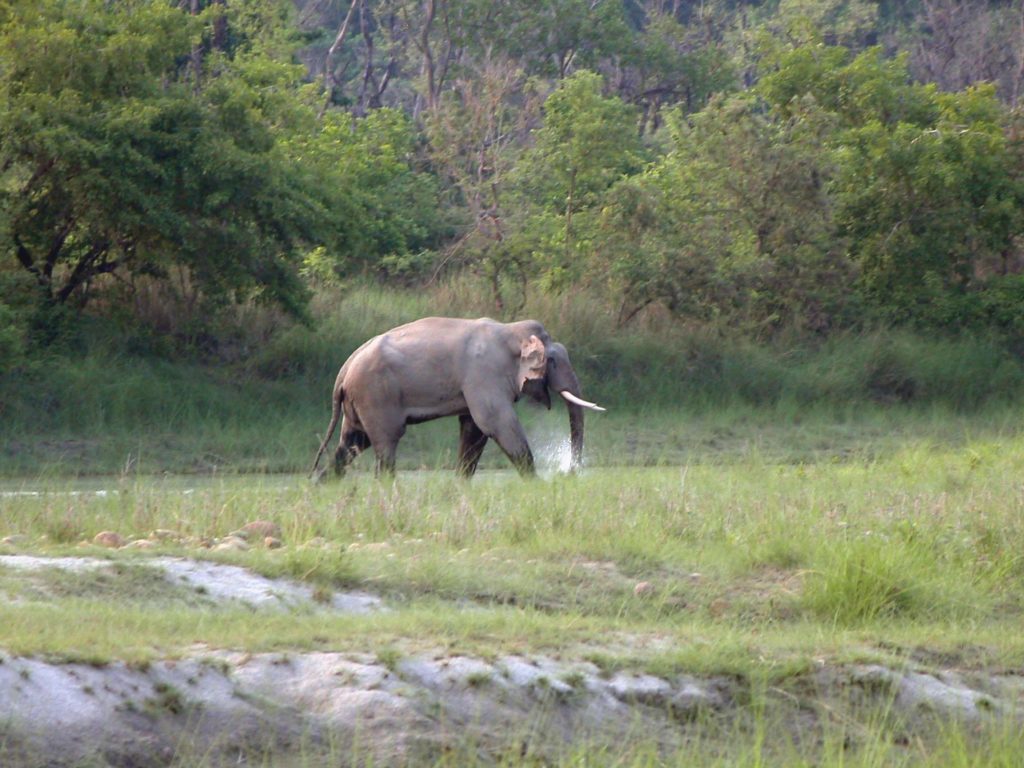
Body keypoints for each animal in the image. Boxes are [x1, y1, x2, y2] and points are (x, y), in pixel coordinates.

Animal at [307, 315, 602, 479]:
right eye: (552, 361)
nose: (570, 473)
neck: (509, 330)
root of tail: (344, 371)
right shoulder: (484, 374)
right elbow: (494, 423)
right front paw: (535, 485)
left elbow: (473, 429)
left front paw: (461, 485)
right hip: (376, 396)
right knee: (385, 443)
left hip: (358, 403)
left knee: (352, 444)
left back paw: (321, 484)